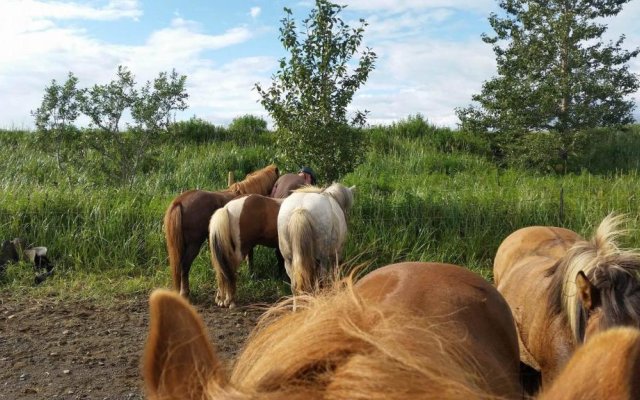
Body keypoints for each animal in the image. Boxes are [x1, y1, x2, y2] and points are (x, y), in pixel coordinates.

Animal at [162, 164, 278, 298]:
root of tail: (179, 201)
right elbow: (250, 257)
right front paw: (251, 275)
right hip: (194, 244)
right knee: (185, 265)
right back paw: (185, 292)